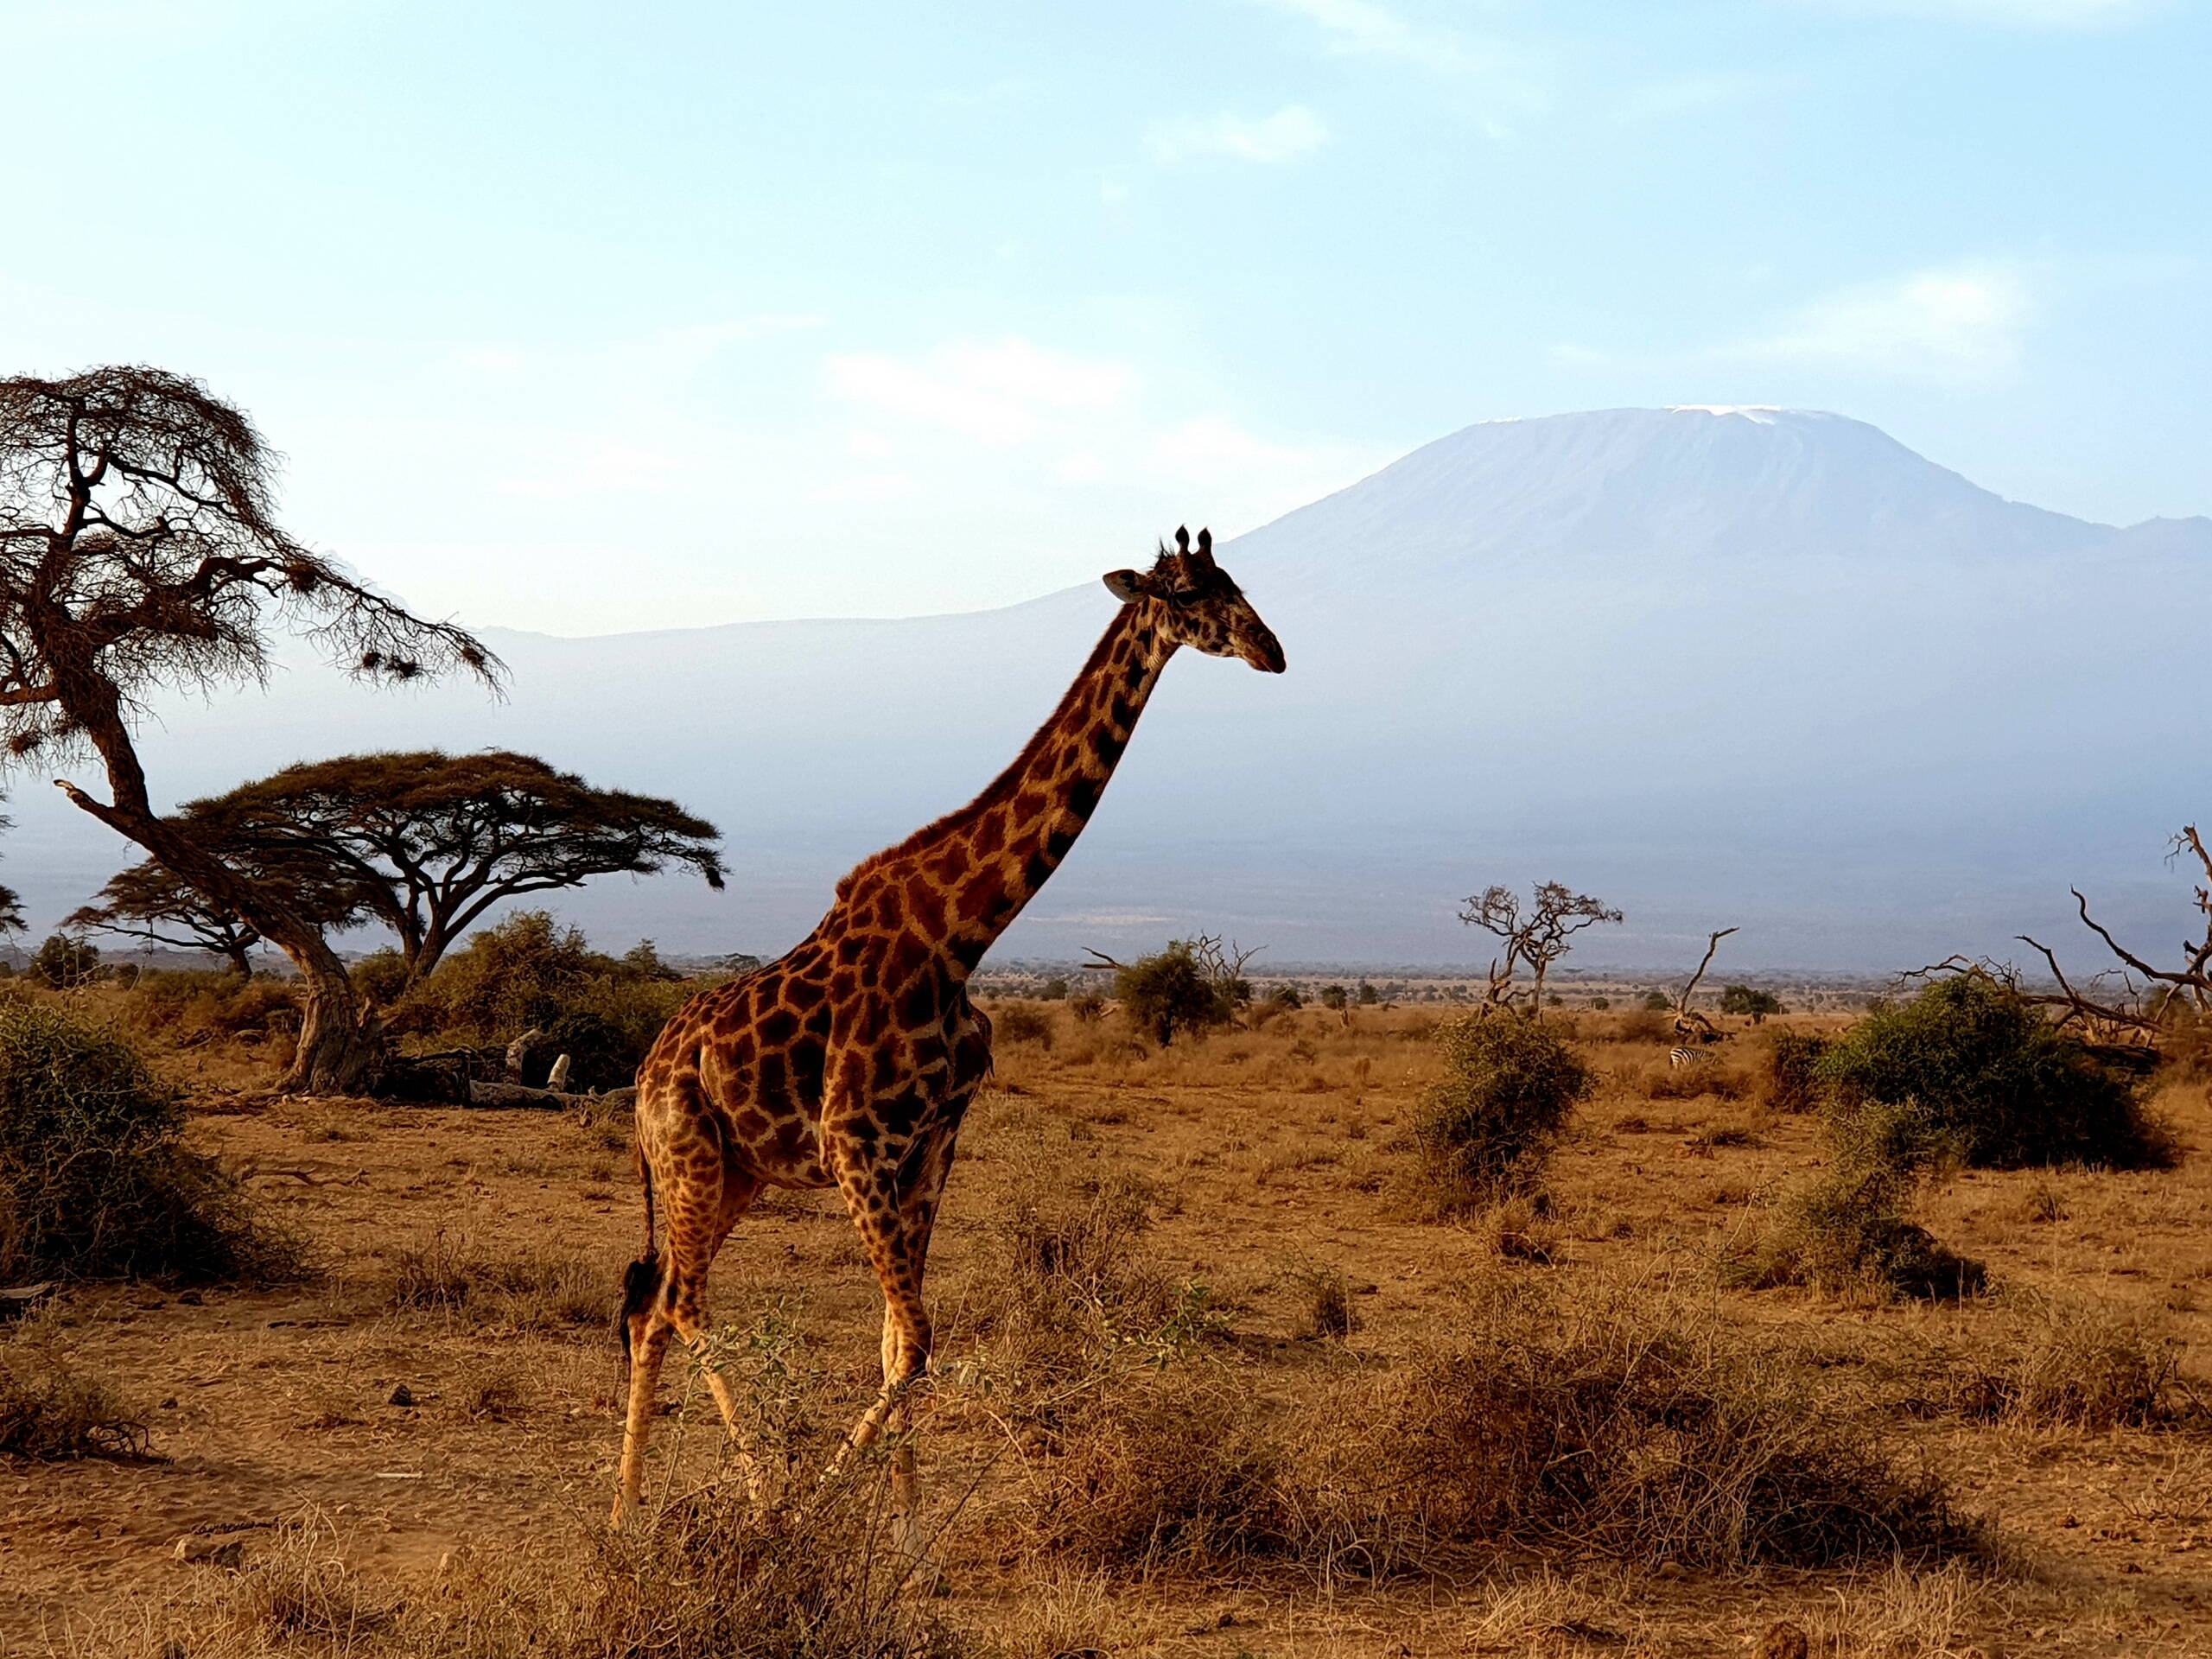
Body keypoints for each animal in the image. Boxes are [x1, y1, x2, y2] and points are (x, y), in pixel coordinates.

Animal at [610, 526, 1285, 1549]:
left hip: (735, 1173)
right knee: (682, 1301)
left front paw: (908, 1537)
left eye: (1236, 582)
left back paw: (623, 1512)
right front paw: (821, 1506)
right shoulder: (855, 1143)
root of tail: (647, 1073)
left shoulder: (931, 1145)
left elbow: (900, 1344)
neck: (962, 935)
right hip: (691, 1156)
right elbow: (917, 1341)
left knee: (652, 1306)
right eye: (1185, 593)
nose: (1269, 649)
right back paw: (763, 1501)